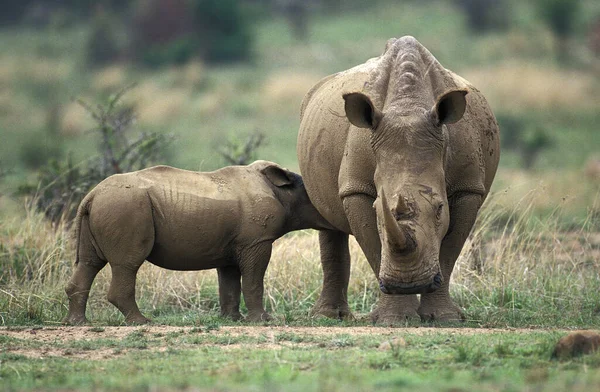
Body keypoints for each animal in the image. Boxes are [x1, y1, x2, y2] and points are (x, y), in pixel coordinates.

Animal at [64, 160, 332, 324]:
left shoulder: (233, 246)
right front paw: (263, 320)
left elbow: (229, 283)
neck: (286, 192)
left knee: (89, 263)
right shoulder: (256, 241)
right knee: (127, 264)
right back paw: (142, 322)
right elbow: (254, 279)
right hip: (125, 207)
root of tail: (91, 195)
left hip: (107, 205)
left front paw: (231, 319)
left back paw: (78, 323)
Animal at [298, 36, 500, 324]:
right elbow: (374, 247)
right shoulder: (356, 189)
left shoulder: (468, 187)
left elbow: (449, 251)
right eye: (377, 209)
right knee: (328, 222)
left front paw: (444, 318)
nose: (409, 284)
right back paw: (329, 317)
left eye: (440, 208)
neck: (408, 107)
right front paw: (394, 319)